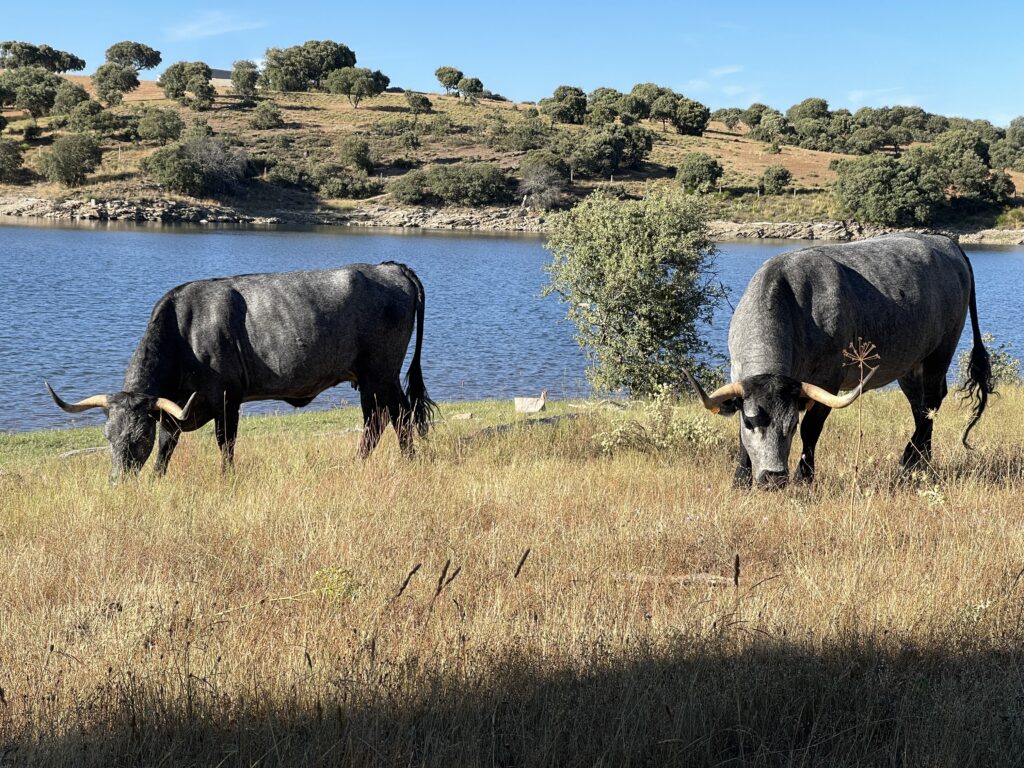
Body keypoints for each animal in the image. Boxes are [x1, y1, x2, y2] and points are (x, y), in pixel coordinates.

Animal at [47, 264, 436, 481]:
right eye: (107, 436)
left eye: (139, 438)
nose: (117, 480)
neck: (185, 331)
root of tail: (388, 267)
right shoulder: (174, 409)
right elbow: (167, 446)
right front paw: (157, 478)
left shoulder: (227, 399)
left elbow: (225, 443)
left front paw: (226, 477)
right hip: (370, 380)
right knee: (380, 420)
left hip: (381, 374)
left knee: (397, 417)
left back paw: (404, 462)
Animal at [688, 231, 991, 489]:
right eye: (751, 424)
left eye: (791, 425)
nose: (774, 477)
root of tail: (945, 242)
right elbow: (741, 437)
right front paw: (739, 480)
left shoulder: (828, 380)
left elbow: (811, 429)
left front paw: (805, 478)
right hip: (910, 364)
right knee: (920, 406)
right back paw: (918, 461)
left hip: (940, 352)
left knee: (931, 402)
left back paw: (910, 462)